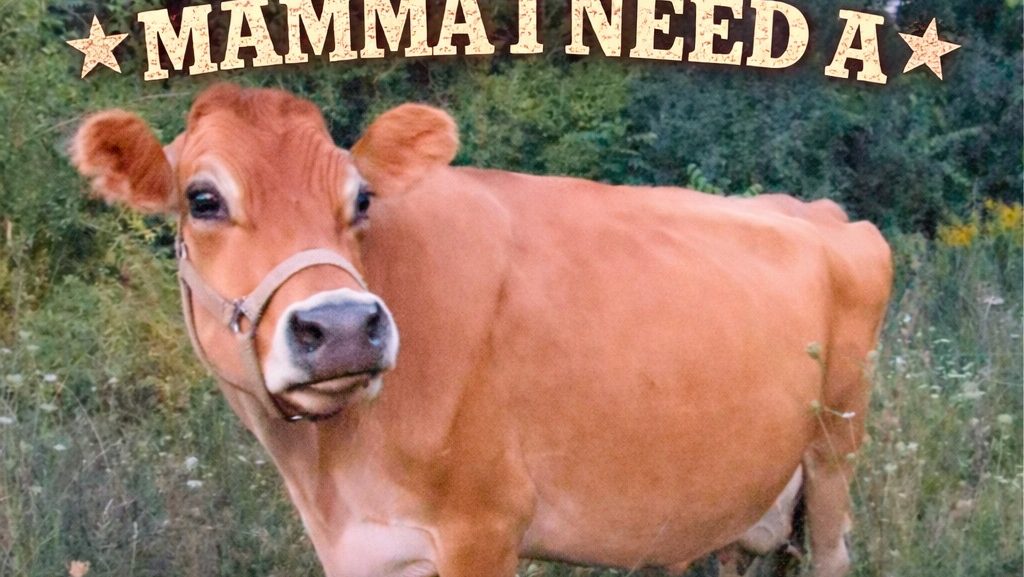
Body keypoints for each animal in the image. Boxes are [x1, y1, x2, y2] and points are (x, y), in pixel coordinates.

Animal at [70, 83, 892, 577]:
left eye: (361, 197)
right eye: (202, 198)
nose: (342, 325)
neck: (330, 473)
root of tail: (818, 209)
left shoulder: (483, 527)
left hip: (834, 456)